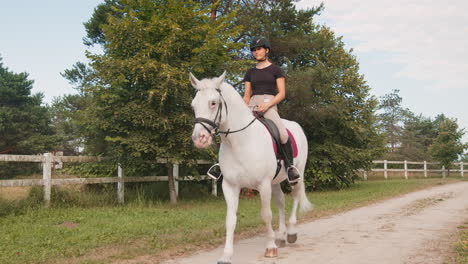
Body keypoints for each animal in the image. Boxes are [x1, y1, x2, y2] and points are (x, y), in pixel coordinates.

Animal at [188, 72, 312, 264]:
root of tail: (296, 126)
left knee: (296, 196)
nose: (199, 139)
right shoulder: (230, 186)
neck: (240, 141)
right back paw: (281, 236)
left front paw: (270, 248)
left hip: (296, 174)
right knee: (281, 201)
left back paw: (291, 233)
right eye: (193, 105)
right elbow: (230, 219)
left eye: (213, 103)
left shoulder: (263, 184)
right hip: (275, 182)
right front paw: (226, 255)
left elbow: (266, 214)